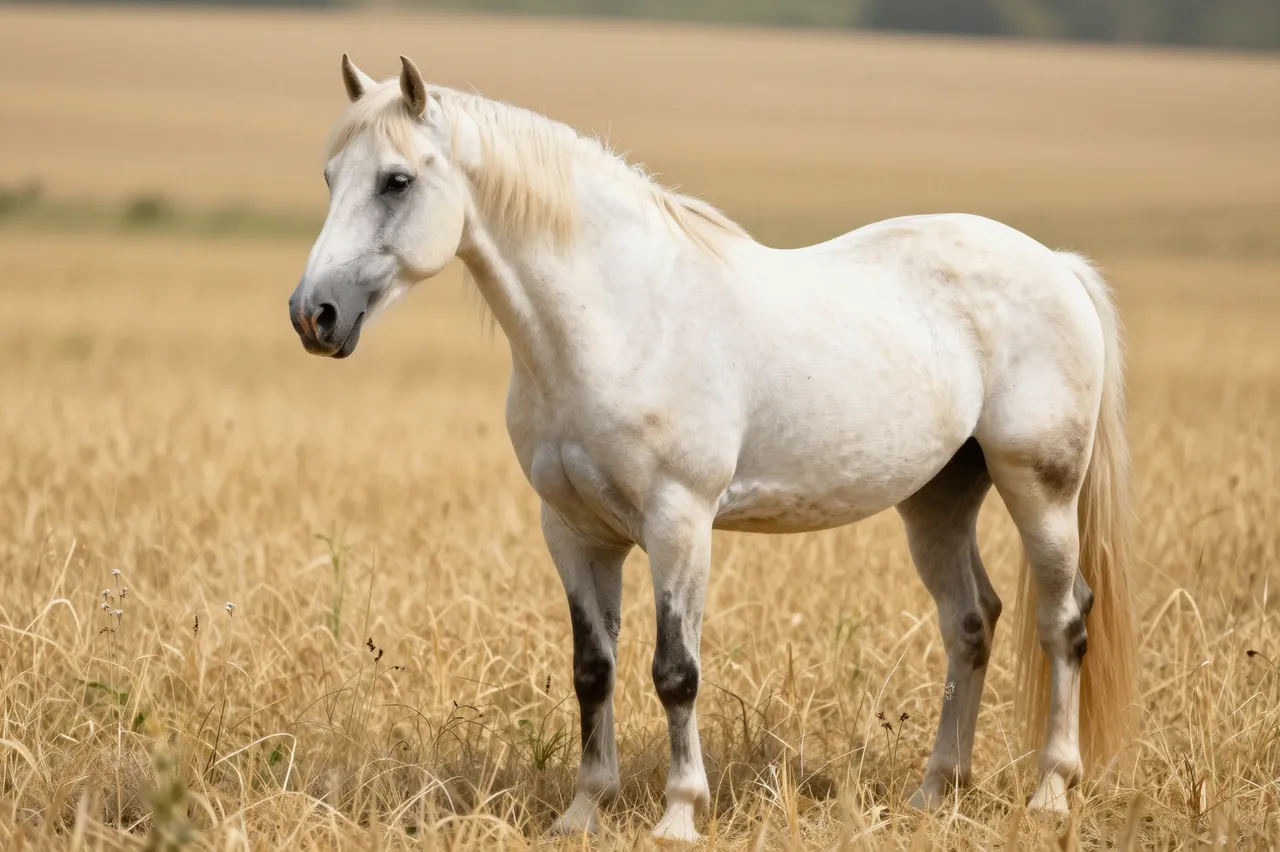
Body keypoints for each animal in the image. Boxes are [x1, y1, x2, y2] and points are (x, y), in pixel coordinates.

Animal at [288, 54, 1138, 842]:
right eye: (330, 176)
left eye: (396, 180)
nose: (313, 314)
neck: (620, 316)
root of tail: (1056, 265)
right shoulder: (574, 531)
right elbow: (592, 670)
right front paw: (583, 811)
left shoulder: (679, 523)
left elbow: (675, 671)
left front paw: (678, 813)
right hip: (938, 500)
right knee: (970, 622)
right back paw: (935, 791)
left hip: (1040, 489)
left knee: (1063, 620)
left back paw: (1051, 791)